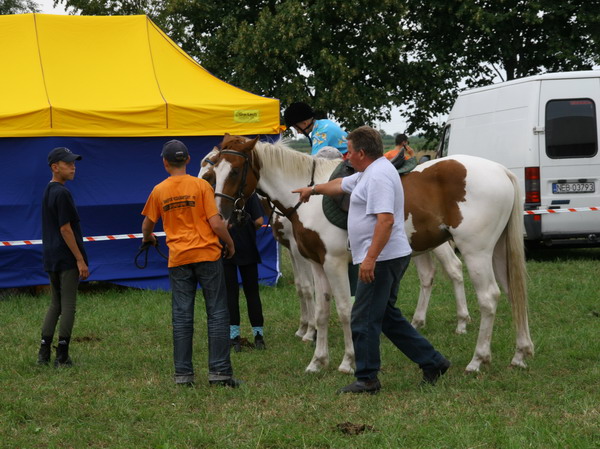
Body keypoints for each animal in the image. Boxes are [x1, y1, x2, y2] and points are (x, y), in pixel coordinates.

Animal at [204, 135, 532, 372]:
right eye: (214, 170)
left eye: (235, 171)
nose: (221, 217)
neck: (308, 197)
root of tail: (501, 170)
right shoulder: (317, 264)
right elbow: (321, 312)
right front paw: (317, 361)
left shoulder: (335, 263)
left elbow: (344, 310)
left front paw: (347, 362)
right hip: (496, 253)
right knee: (513, 293)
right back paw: (520, 354)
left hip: (476, 252)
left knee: (489, 297)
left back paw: (478, 359)